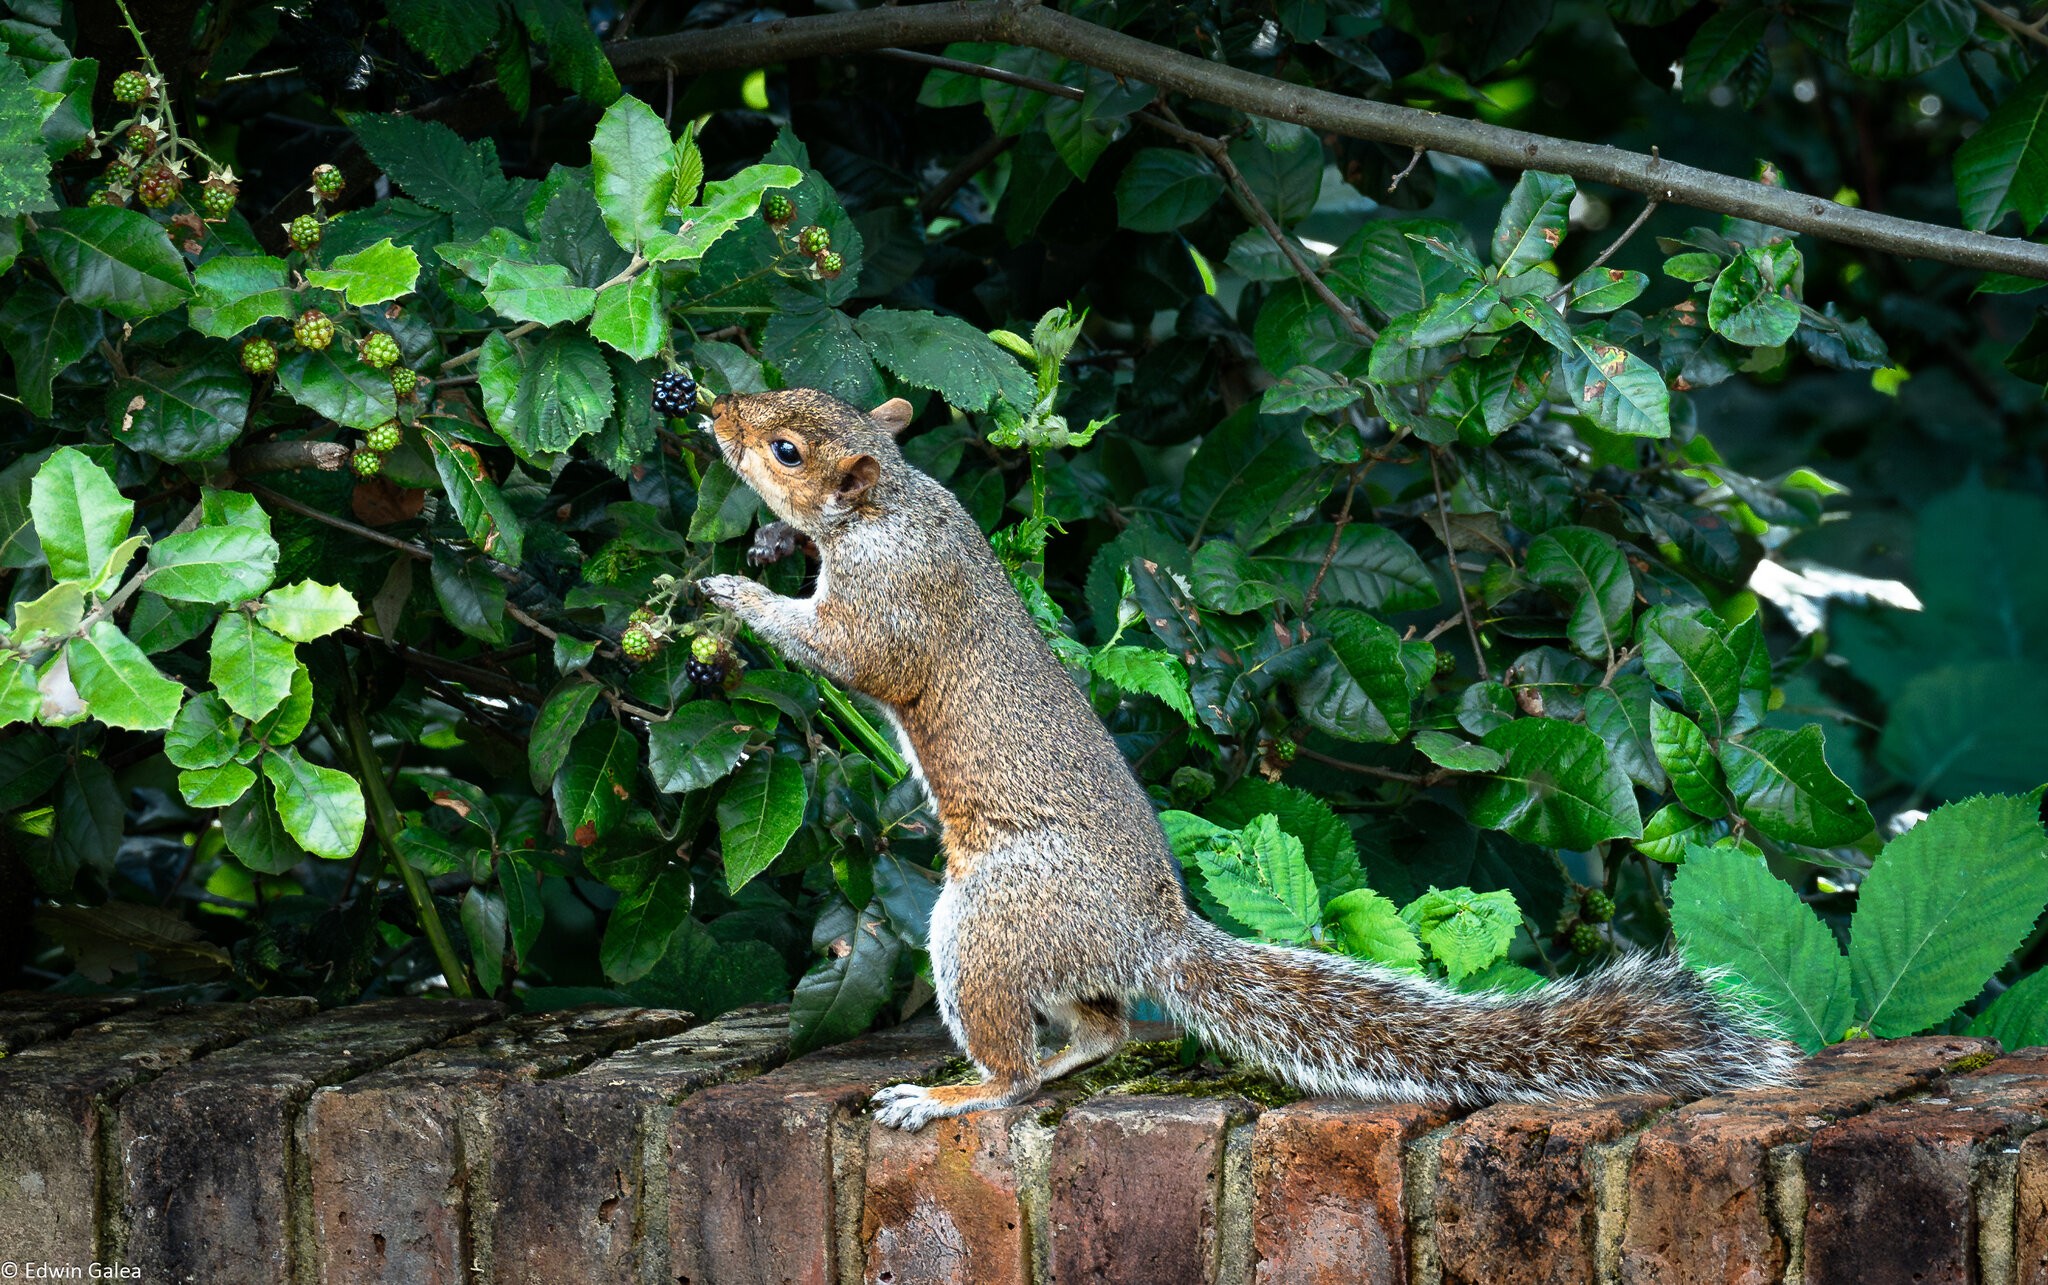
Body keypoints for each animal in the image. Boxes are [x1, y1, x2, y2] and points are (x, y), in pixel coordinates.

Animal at [700, 387, 1794, 1131]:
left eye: (786, 448)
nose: (711, 411)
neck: (894, 505)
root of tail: (1150, 938)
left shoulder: (897, 604)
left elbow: (854, 656)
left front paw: (737, 594)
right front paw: (763, 549)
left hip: (993, 921)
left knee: (1016, 1061)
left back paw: (950, 1095)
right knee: (1098, 1033)